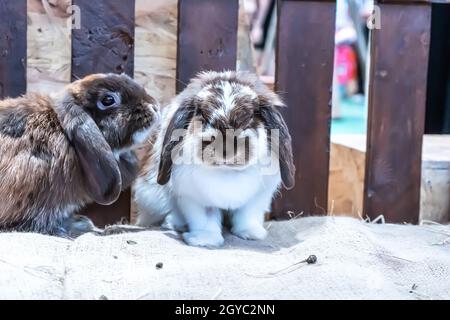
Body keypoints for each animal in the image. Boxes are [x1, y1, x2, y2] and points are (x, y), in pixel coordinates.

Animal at [134, 70, 296, 248]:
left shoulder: (257, 197)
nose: (225, 149)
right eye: (202, 115)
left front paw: (251, 234)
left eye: (249, 118)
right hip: (152, 197)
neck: (226, 171)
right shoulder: (195, 199)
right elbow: (205, 220)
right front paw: (205, 241)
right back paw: (174, 223)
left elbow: (247, 215)